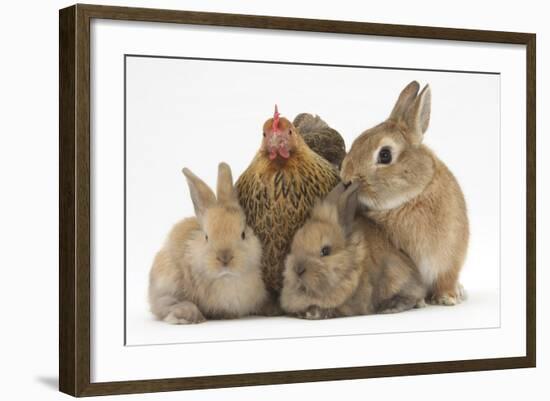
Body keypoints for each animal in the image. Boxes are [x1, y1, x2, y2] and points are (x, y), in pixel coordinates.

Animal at [342, 81, 472, 306]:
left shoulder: (448, 259)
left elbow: (445, 279)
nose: (346, 179)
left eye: (385, 155)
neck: (410, 199)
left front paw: (447, 298)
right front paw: (420, 302)